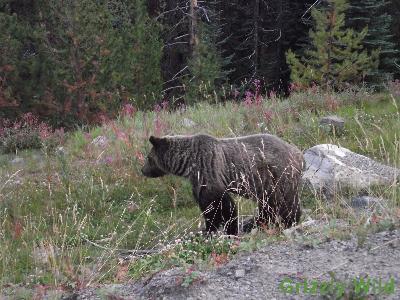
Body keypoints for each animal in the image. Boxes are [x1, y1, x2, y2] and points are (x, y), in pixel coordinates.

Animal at [142, 133, 302, 234]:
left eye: (148, 158)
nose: (143, 170)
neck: (188, 163)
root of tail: (297, 151)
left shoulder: (208, 171)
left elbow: (219, 206)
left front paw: (214, 228)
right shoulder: (199, 179)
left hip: (277, 175)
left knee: (283, 201)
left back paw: (288, 221)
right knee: (268, 203)